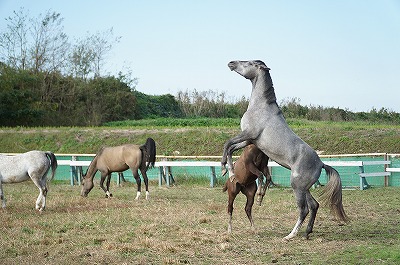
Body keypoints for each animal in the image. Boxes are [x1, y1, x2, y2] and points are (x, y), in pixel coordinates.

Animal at [220, 59, 348, 239]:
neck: (261, 107)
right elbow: (231, 148)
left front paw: (226, 170)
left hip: (297, 187)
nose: (231, 63)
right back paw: (306, 233)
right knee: (314, 205)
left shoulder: (248, 134)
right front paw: (230, 171)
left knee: (304, 209)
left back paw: (290, 235)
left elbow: (227, 144)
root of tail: (321, 163)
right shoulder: (249, 140)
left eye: (250, 63)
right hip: (304, 188)